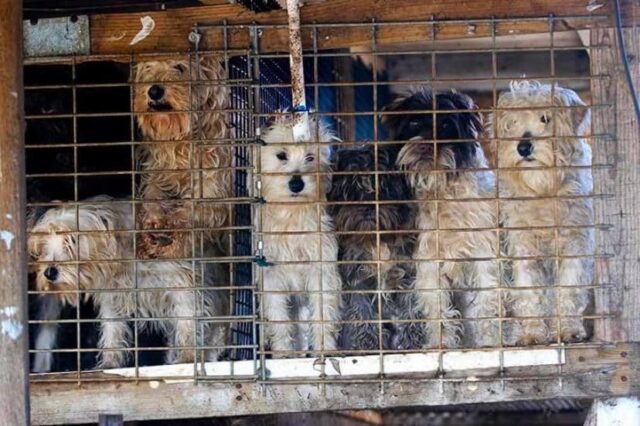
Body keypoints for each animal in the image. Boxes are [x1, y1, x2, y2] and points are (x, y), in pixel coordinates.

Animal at [30, 196, 230, 370]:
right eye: (44, 243)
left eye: (72, 239)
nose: (49, 272)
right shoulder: (112, 298)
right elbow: (112, 330)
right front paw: (110, 363)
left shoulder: (181, 285)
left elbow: (187, 322)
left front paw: (188, 356)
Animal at [133, 55, 232, 258]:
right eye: (148, 67)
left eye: (179, 67)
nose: (154, 91)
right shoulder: (155, 171)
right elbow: (152, 195)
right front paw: (153, 222)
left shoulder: (213, 186)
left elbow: (196, 212)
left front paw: (172, 239)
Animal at [258, 113, 342, 356]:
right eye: (281, 155)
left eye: (310, 157)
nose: (296, 183)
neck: (291, 216)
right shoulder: (272, 276)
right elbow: (279, 319)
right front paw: (282, 354)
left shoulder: (321, 270)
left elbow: (323, 314)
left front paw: (325, 350)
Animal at [330, 143, 424, 350]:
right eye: (351, 188)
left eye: (384, 186)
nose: (368, 207)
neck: (376, 240)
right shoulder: (358, 280)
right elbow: (362, 314)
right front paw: (366, 345)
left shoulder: (408, 275)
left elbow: (411, 309)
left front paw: (412, 342)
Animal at [496, 80, 596, 346]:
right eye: (514, 121)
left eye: (545, 118)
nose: (523, 147)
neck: (543, 191)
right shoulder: (524, 246)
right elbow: (529, 291)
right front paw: (531, 333)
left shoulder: (575, 242)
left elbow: (570, 287)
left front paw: (569, 330)